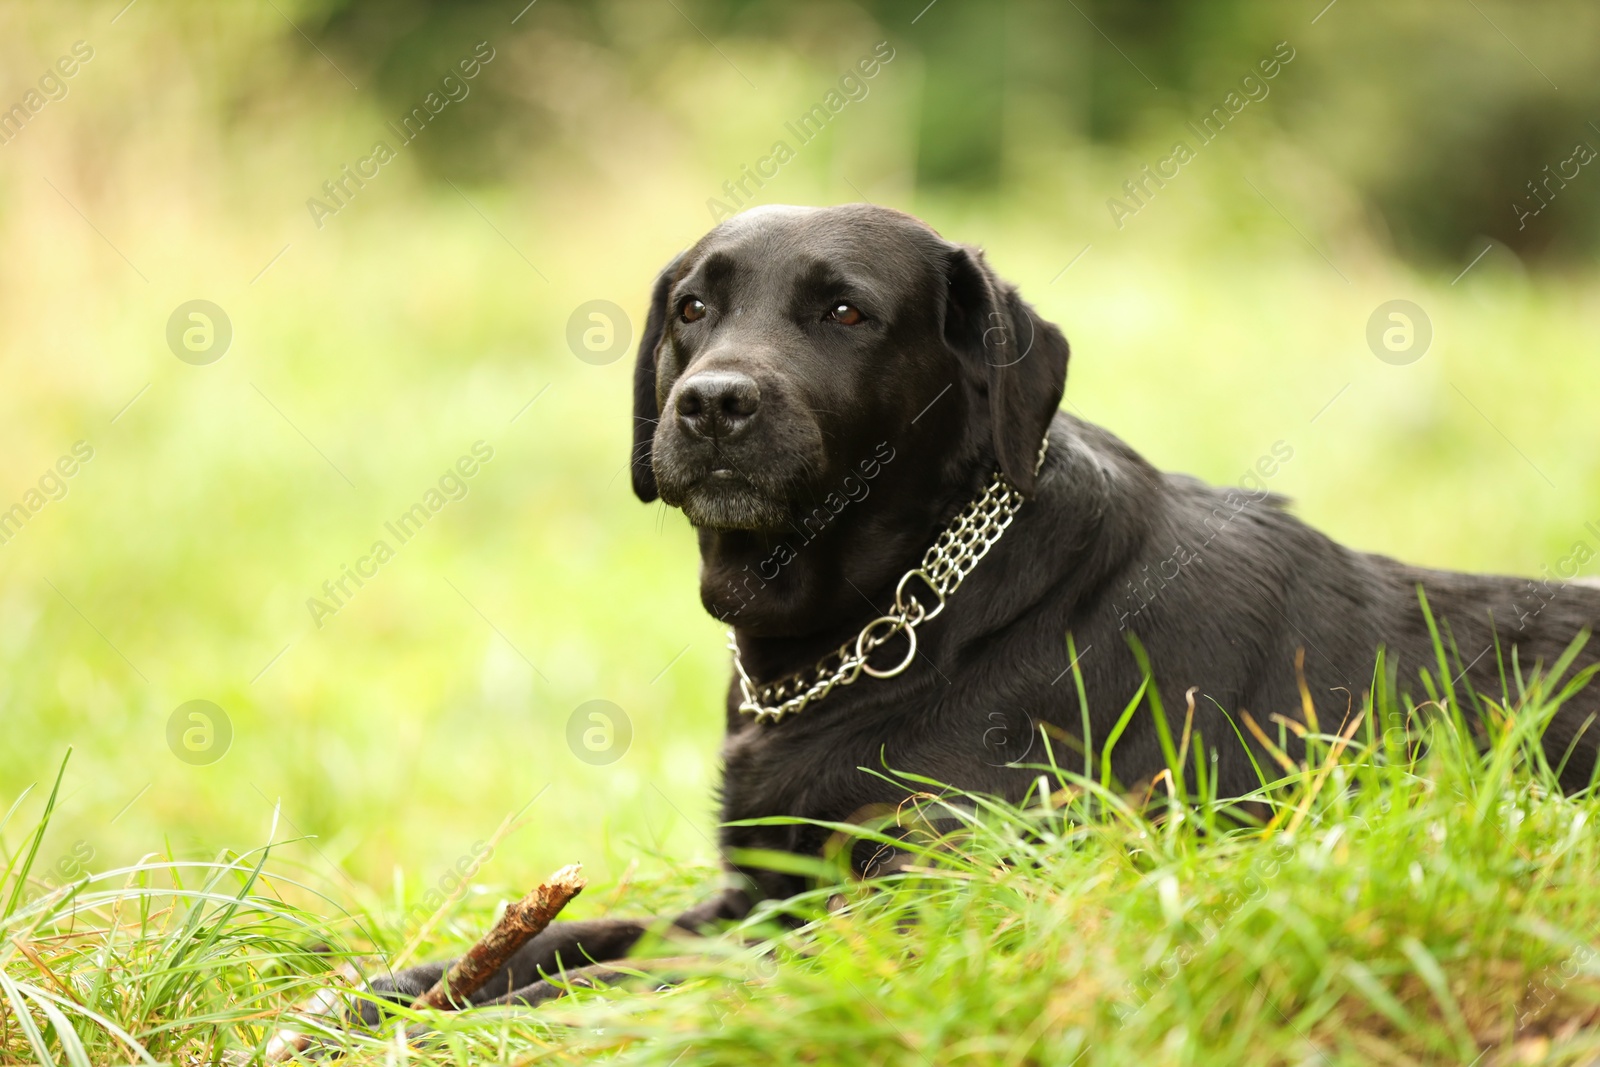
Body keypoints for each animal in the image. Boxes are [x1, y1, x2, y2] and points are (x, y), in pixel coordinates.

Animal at [371, 204, 1600, 1017]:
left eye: (845, 310)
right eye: (691, 308)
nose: (712, 402)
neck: (896, 616)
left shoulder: (911, 905)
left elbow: (637, 968)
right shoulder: (757, 886)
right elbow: (579, 933)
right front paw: (397, 983)